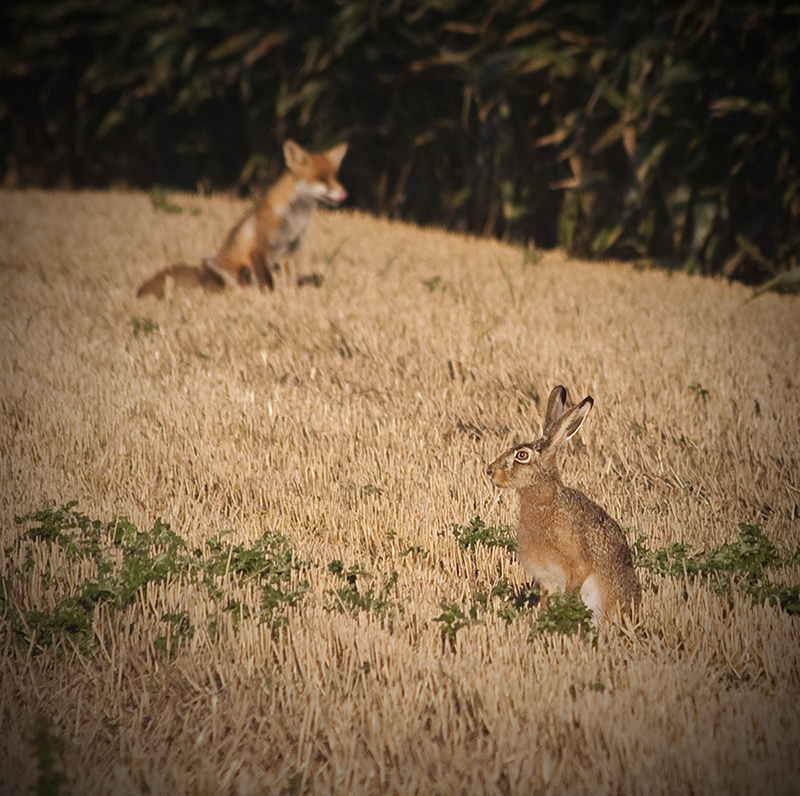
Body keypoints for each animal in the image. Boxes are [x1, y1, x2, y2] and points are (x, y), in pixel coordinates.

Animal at [137, 140, 346, 298]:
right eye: (321, 178)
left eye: (335, 176)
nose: (344, 193)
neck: (295, 219)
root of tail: (201, 276)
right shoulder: (259, 249)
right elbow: (268, 282)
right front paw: (271, 298)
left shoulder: (288, 252)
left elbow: (291, 280)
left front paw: (292, 294)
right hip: (215, 264)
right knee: (233, 287)